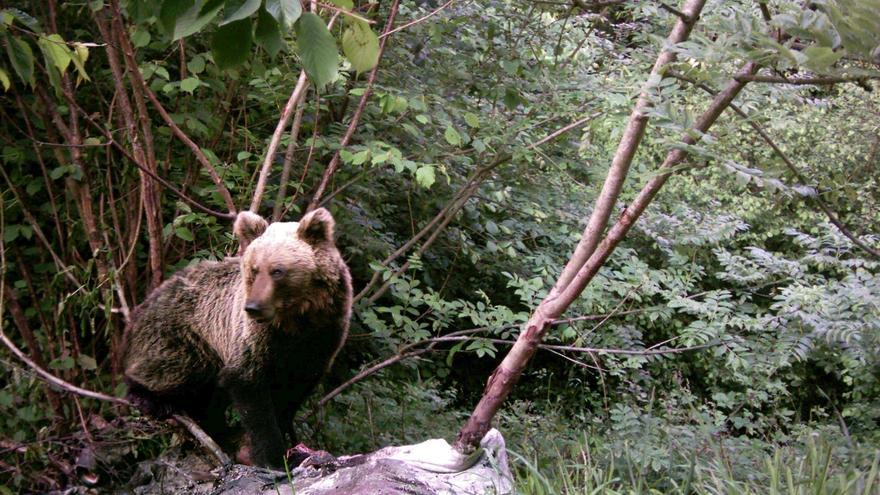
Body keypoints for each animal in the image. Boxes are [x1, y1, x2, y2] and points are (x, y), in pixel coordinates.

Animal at [121, 208, 354, 468]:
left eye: (277, 271)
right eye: (254, 269)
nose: (253, 307)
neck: (295, 320)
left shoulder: (322, 336)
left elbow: (292, 392)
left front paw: (290, 444)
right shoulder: (254, 338)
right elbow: (248, 387)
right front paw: (271, 455)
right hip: (183, 336)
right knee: (170, 368)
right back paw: (150, 398)